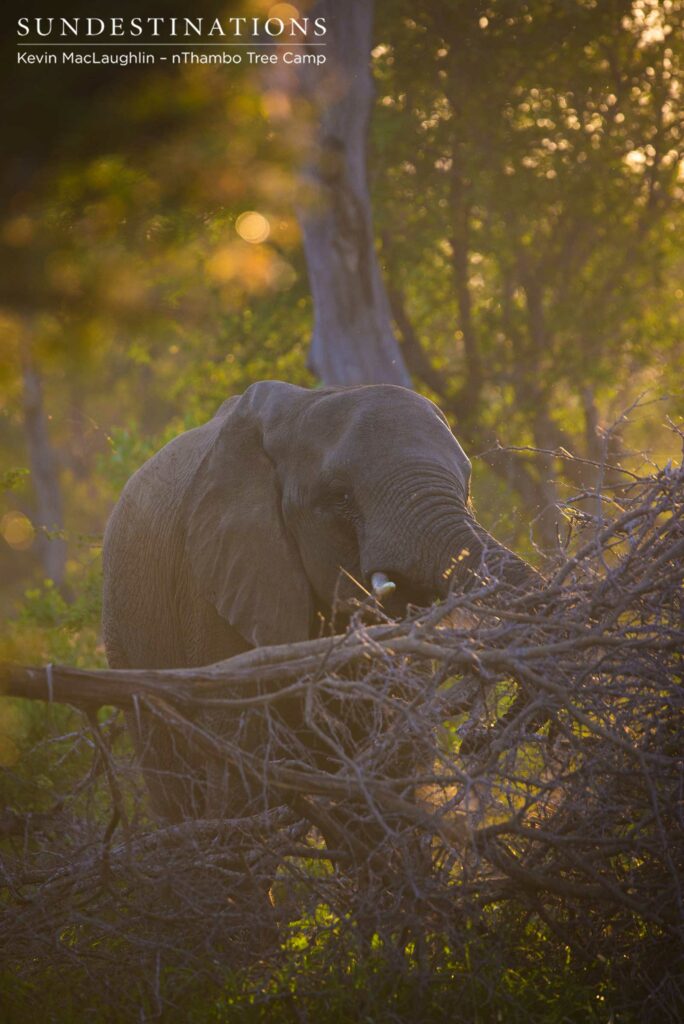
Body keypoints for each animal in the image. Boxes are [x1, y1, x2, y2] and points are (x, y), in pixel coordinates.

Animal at [102, 380, 538, 823]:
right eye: (340, 497)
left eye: (466, 491)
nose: (472, 740)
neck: (300, 409)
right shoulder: (209, 587)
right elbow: (242, 773)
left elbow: (391, 770)